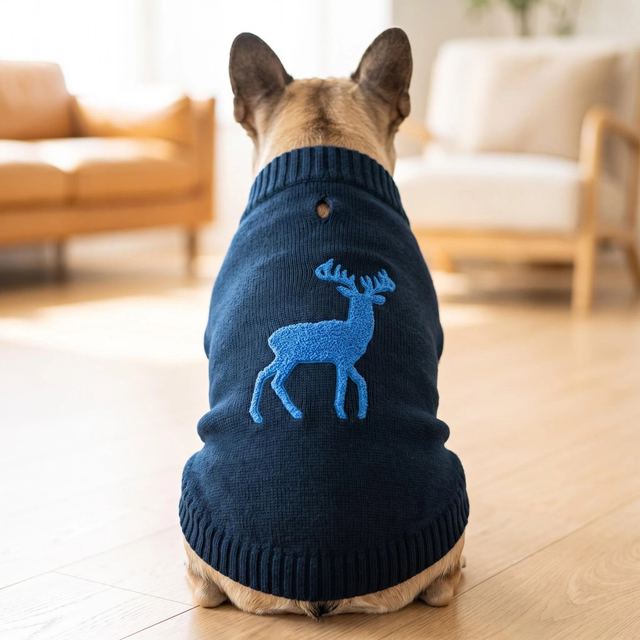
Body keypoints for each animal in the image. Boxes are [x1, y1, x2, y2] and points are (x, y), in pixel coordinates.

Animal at [249, 258, 396, 424]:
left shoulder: (349, 362)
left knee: (262, 374)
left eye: (370, 299)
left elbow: (361, 381)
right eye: (354, 298)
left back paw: (257, 415)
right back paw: (296, 412)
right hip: (289, 357)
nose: (366, 307)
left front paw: (361, 413)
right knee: (276, 381)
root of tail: (271, 339)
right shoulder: (341, 359)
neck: (354, 332)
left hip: (281, 357)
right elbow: (342, 386)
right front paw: (342, 413)